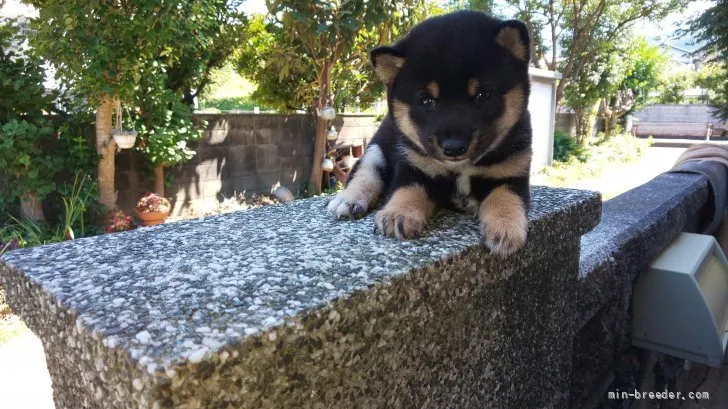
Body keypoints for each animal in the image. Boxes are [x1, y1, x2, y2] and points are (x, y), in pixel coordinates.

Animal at [328, 10, 532, 255]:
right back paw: (349, 200)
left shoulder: (511, 172)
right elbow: (408, 190)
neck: (460, 169)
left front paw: (505, 229)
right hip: (376, 148)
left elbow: (506, 198)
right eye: (427, 101)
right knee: (366, 172)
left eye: (483, 95)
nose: (453, 147)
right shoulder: (415, 165)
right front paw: (398, 214)